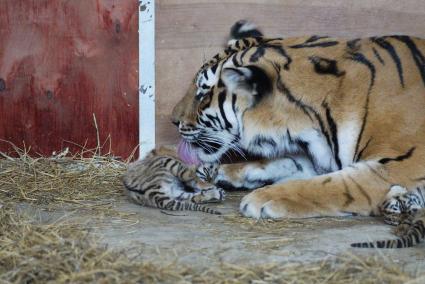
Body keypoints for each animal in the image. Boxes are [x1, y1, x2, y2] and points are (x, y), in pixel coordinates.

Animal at [171, 20, 424, 220]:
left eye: (202, 94)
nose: (173, 120)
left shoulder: (394, 167)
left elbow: (326, 186)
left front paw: (264, 198)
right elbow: (278, 163)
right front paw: (215, 172)